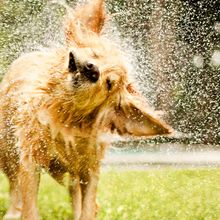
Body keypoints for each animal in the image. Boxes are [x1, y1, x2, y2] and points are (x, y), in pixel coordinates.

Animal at [0, 0, 172, 220]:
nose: (92, 70)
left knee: (73, 191)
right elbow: (29, 204)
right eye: (95, 54)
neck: (64, 116)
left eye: (109, 83)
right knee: (14, 183)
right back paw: (13, 212)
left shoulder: (90, 166)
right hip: (7, 149)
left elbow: (88, 205)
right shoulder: (31, 158)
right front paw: (22, 211)